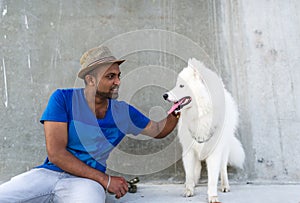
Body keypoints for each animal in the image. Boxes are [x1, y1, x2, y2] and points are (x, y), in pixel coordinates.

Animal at [163, 58, 245, 203]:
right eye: (178, 85)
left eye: (182, 86)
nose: (164, 95)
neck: (200, 114)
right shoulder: (189, 150)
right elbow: (189, 173)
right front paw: (189, 189)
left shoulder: (214, 151)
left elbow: (212, 178)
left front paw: (212, 196)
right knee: (197, 168)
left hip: (224, 149)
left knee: (223, 168)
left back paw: (225, 185)